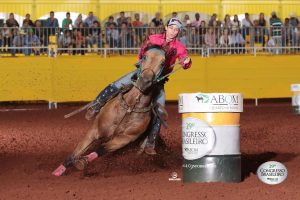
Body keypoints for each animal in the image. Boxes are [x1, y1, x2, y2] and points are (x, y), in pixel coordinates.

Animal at [53, 45, 168, 177]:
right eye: (144, 57)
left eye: (163, 62)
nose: (144, 81)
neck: (130, 107)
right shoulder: (94, 130)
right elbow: (75, 152)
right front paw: (58, 171)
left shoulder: (124, 139)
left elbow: (102, 149)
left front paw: (83, 161)